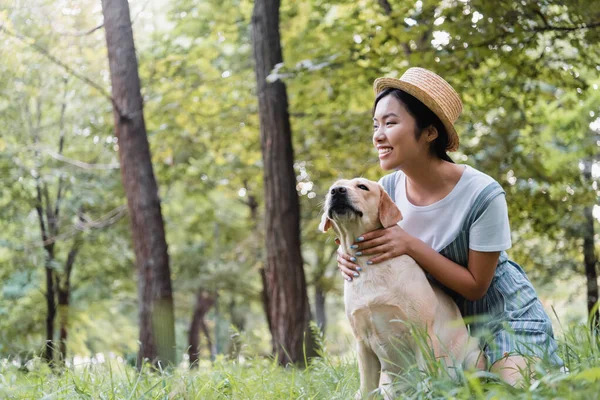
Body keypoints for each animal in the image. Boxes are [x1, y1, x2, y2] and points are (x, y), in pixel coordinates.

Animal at [318, 179, 482, 400]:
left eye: (362, 187)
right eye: (332, 188)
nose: (337, 191)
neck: (368, 265)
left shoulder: (422, 334)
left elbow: (428, 379)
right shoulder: (362, 343)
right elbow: (367, 386)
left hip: (473, 357)